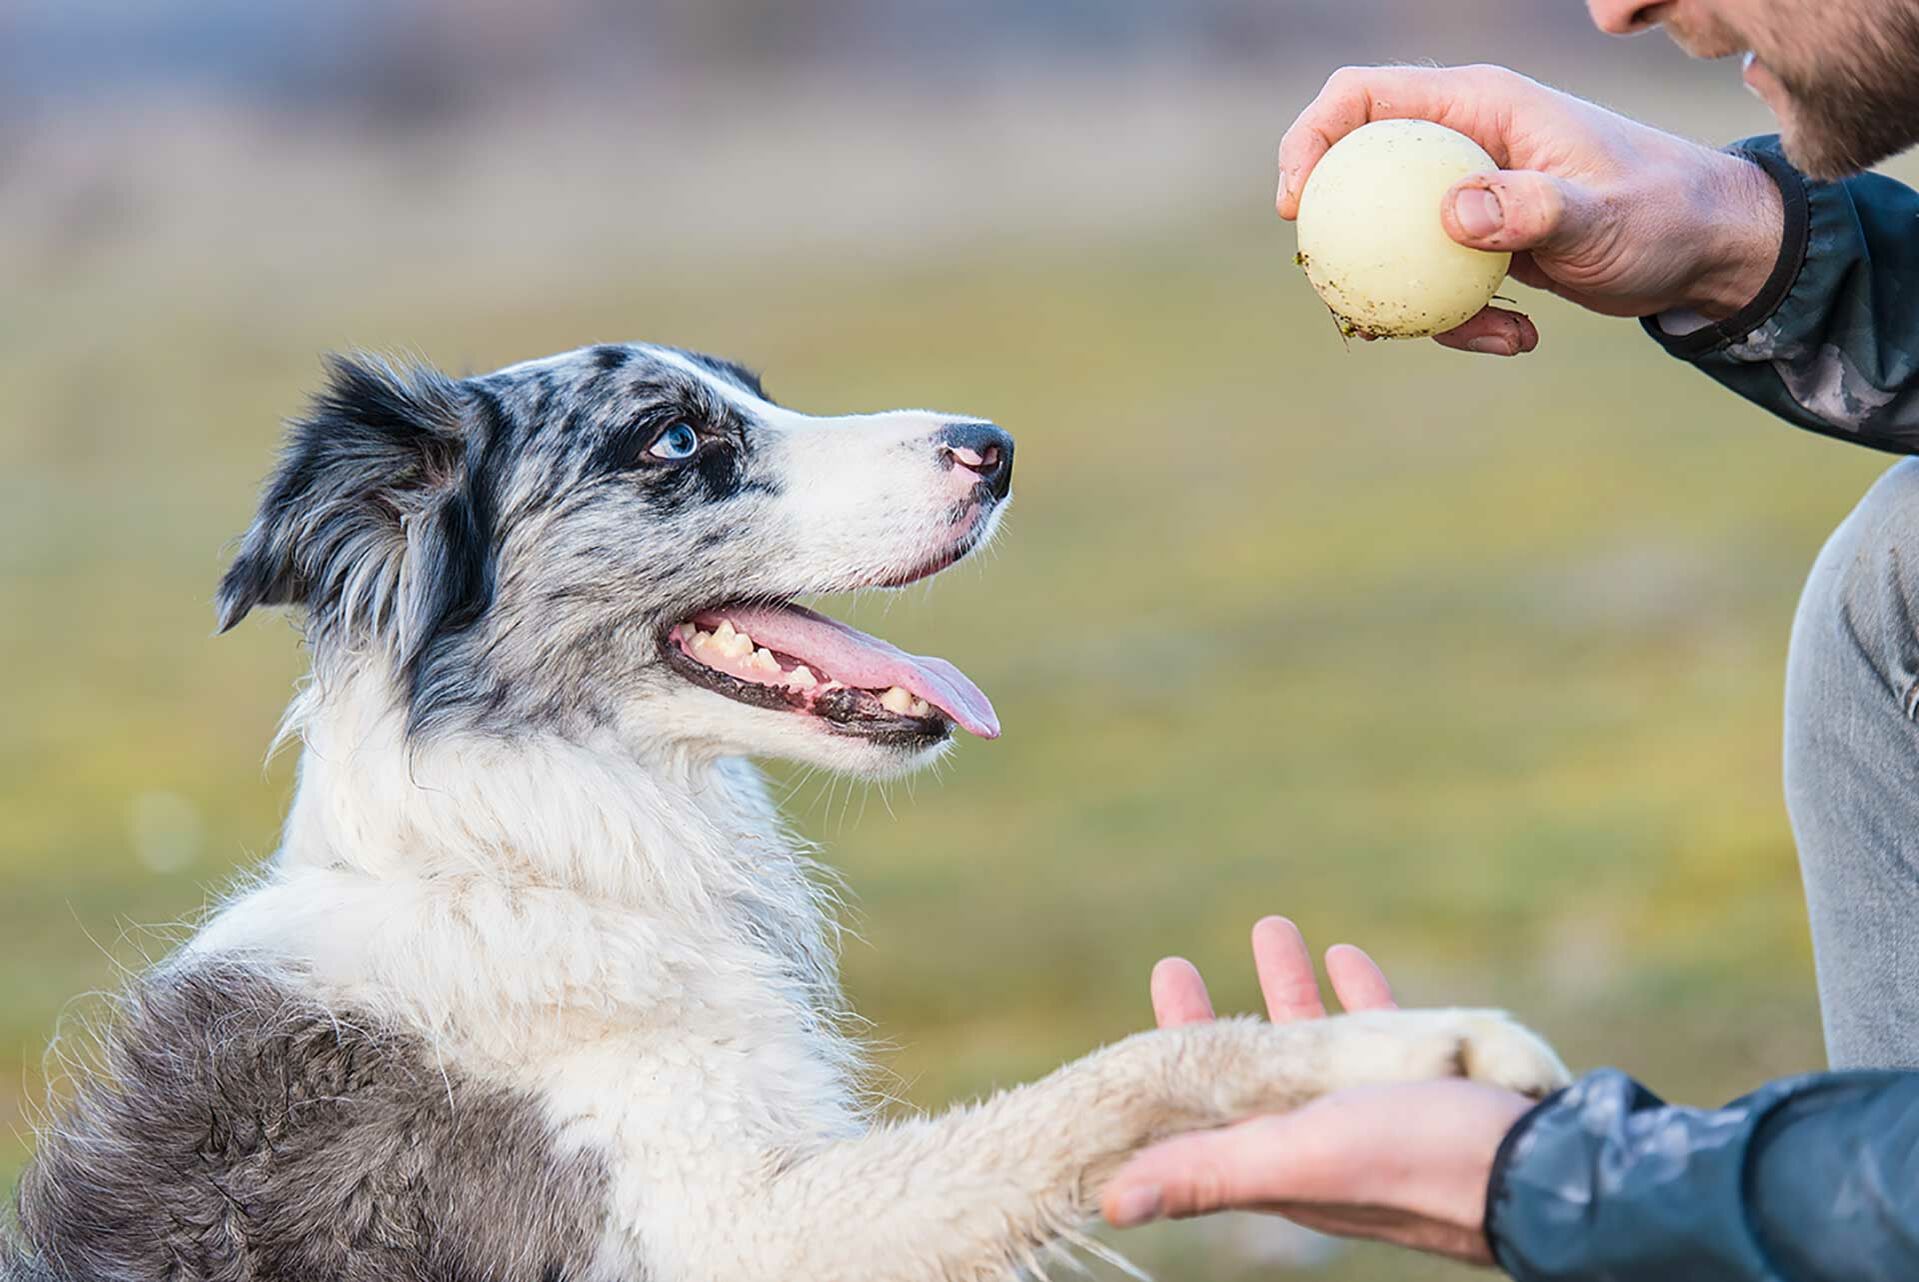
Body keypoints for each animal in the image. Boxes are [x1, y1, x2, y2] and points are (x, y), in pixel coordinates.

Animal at [3, 345, 1573, 1282]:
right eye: (672, 436)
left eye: (743, 386)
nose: (995, 444)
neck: (531, 842)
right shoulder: (733, 1228)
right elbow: (1131, 1068)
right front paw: (1416, 1048)